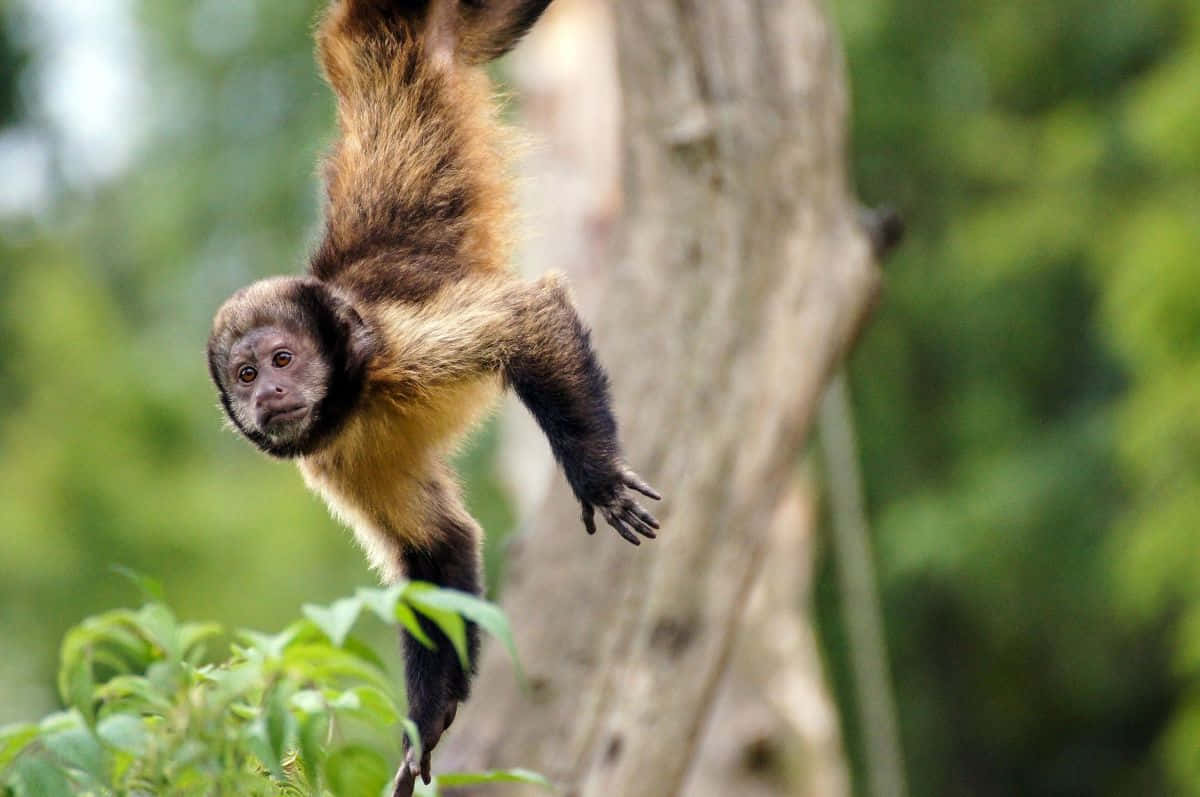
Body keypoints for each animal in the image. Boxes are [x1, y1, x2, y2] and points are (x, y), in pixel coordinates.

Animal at [205, 3, 657, 792]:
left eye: (282, 359)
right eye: (246, 376)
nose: (272, 395)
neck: (353, 395)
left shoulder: (392, 344)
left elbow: (531, 317)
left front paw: (597, 478)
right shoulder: (329, 458)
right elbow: (437, 546)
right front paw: (431, 720)